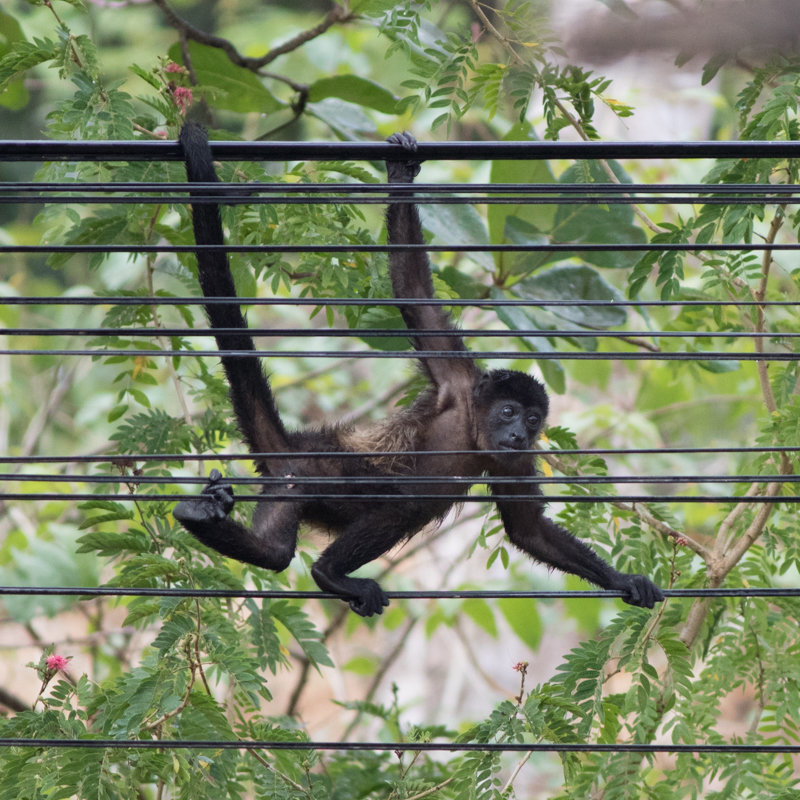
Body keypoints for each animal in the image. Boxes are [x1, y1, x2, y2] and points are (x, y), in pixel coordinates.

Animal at [173, 123, 664, 620]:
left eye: (531, 420)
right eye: (508, 411)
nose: (517, 432)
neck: (473, 425)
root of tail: (295, 449)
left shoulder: (516, 459)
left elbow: (529, 529)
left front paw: (624, 580)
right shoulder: (455, 378)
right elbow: (412, 290)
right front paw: (401, 174)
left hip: (285, 492)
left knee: (275, 552)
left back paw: (207, 519)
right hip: (330, 470)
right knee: (403, 503)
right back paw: (329, 573)